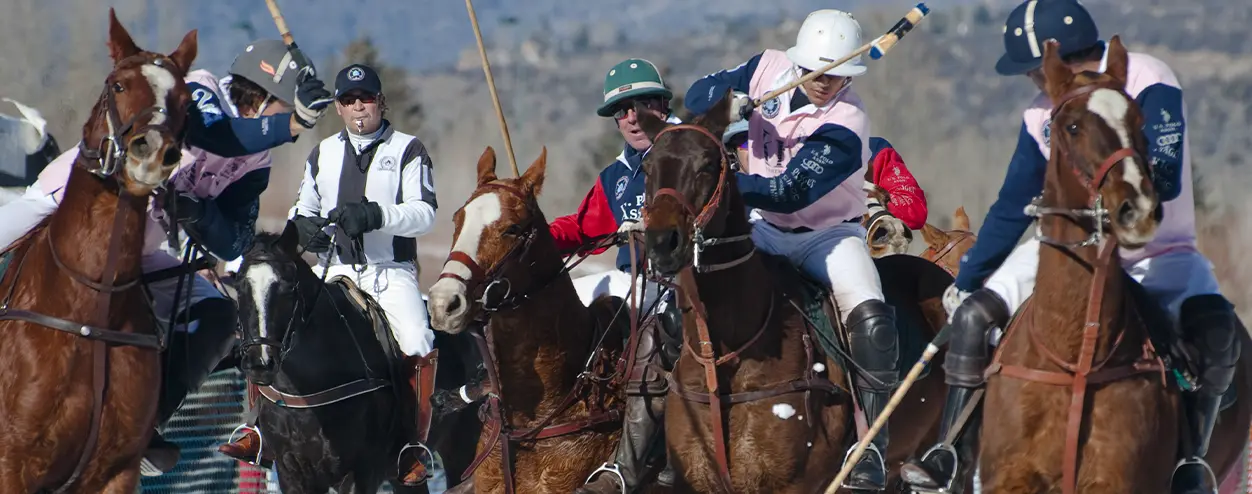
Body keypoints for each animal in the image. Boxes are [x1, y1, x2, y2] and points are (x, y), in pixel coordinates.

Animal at [0, 7, 195, 494]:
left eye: (186, 101)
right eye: (118, 84)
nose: (152, 153)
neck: (91, 310)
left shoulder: (115, 471)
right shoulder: (11, 463)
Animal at [232, 225, 480, 494]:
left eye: (288, 287)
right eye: (240, 287)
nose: (259, 363)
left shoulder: (360, 472)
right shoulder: (292, 472)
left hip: (462, 451)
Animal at [976, 36, 1252, 492]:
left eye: (1140, 120)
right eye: (1071, 127)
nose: (1136, 209)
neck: (1076, 358)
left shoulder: (1120, 480)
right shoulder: (1010, 477)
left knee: (1214, 325)